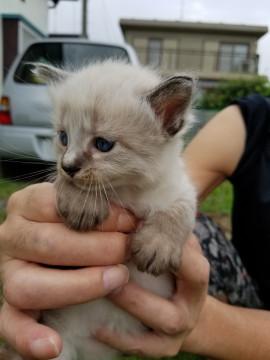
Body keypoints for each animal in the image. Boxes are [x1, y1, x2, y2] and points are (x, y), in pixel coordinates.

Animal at [8, 60, 196, 358]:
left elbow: (179, 211)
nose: (68, 166)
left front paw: (157, 247)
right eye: (63, 137)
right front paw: (80, 202)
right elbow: (66, 185)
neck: (127, 194)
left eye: (103, 144)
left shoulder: (181, 190)